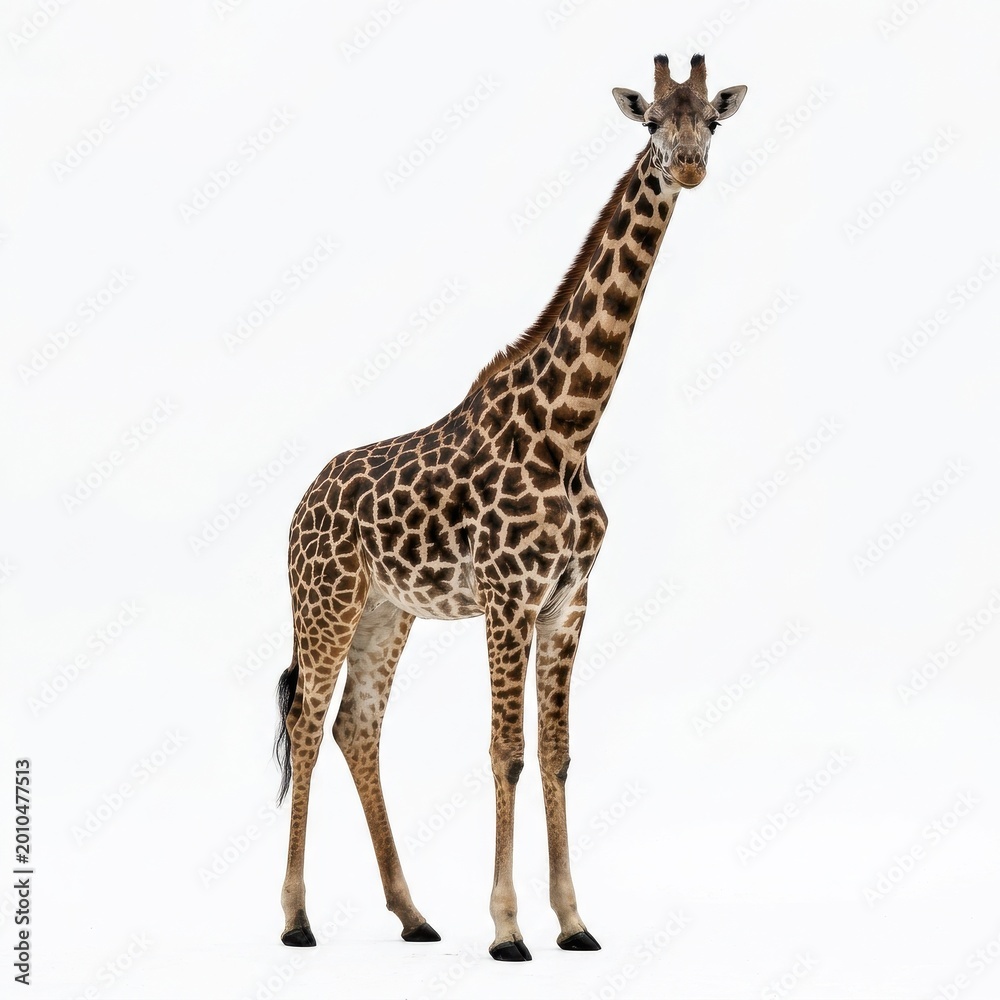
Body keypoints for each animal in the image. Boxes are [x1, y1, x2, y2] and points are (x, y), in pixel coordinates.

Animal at [274, 53, 746, 961]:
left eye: (711, 120)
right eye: (650, 122)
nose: (689, 168)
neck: (570, 429)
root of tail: (300, 505)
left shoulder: (567, 602)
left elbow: (556, 753)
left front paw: (573, 921)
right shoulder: (507, 597)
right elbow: (507, 752)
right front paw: (505, 929)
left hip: (387, 610)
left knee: (357, 726)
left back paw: (414, 915)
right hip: (326, 602)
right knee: (310, 724)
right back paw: (296, 919)